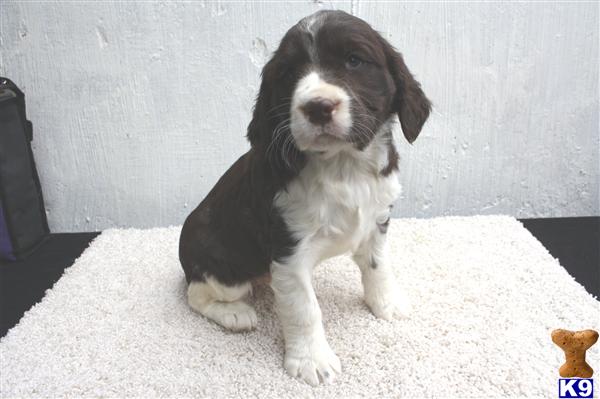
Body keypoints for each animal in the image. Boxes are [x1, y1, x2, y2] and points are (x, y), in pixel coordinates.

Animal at [178, 8, 432, 384]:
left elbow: (378, 266)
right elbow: (304, 308)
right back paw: (235, 314)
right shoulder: (289, 251)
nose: (318, 107)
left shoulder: (377, 222)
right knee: (196, 293)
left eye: (354, 60)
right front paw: (312, 360)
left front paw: (387, 303)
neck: (343, 166)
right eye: (288, 74)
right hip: (228, 269)